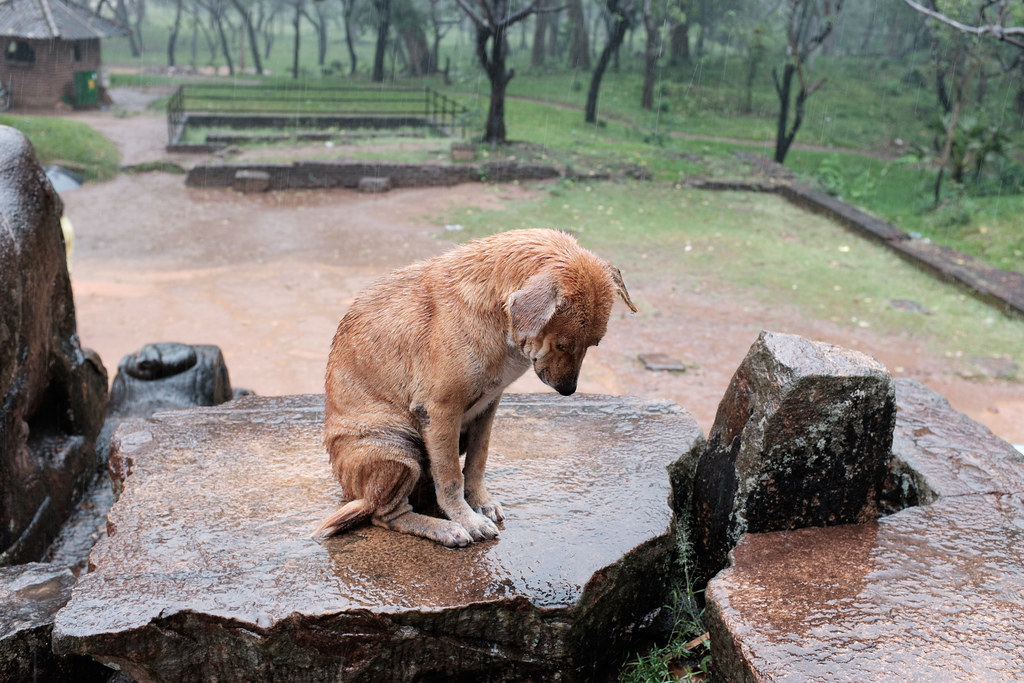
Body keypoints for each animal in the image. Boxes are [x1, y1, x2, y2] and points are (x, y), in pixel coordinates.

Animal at [313, 227, 630, 548]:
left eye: (593, 344)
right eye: (563, 344)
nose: (569, 391)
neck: (499, 319)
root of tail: (358, 496)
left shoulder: (488, 407)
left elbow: (477, 462)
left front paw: (481, 502)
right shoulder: (441, 412)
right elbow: (451, 477)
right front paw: (468, 520)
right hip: (397, 449)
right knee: (387, 515)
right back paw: (444, 529)